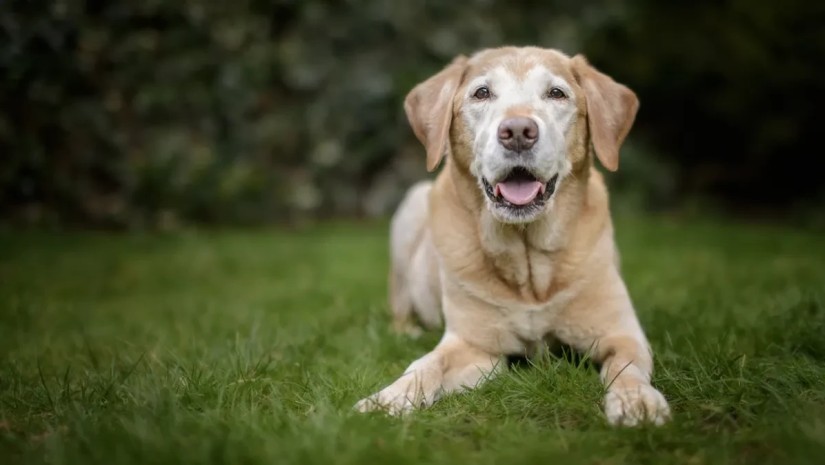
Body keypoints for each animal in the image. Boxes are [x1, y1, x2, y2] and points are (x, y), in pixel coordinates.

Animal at [354, 46, 668, 424]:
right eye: (482, 93)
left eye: (556, 93)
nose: (518, 131)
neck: (528, 261)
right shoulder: (473, 345)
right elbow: (425, 365)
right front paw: (387, 399)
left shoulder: (622, 333)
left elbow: (627, 367)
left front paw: (637, 400)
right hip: (413, 206)